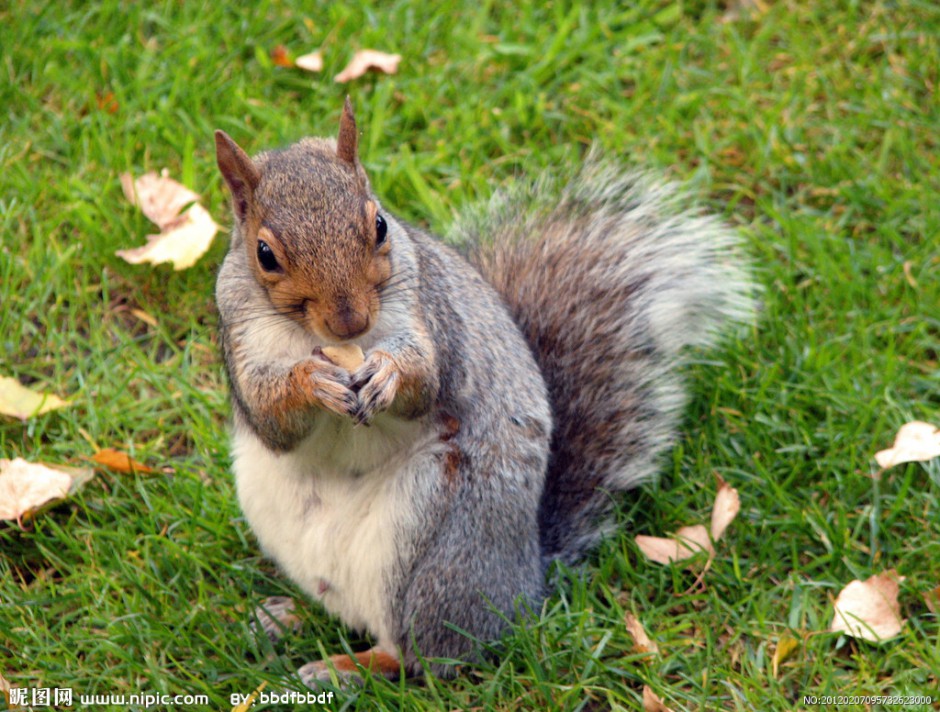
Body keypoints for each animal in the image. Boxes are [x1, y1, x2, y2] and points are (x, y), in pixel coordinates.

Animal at [215, 98, 756, 684]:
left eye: (380, 224)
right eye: (265, 254)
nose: (350, 321)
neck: (328, 343)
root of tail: (525, 583)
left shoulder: (431, 313)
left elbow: (426, 381)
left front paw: (387, 373)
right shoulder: (241, 342)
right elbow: (271, 418)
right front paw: (311, 380)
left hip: (438, 538)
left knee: (415, 653)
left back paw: (345, 666)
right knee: (338, 604)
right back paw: (284, 616)